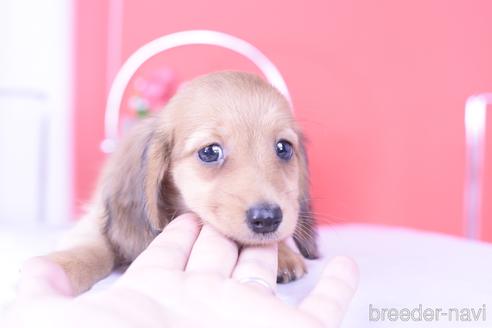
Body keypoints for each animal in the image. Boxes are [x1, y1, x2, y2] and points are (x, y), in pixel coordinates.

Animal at [44, 70, 320, 294]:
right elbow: (94, 249)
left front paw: (283, 253)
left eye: (284, 148)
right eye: (210, 152)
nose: (268, 219)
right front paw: (62, 266)